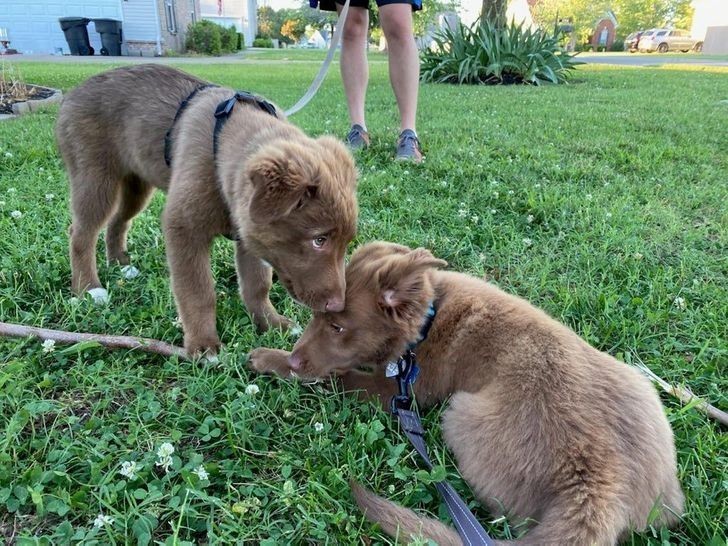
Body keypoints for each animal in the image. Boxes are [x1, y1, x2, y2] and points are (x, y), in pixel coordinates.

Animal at [55, 63, 356, 352]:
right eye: (319, 240)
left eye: (346, 242)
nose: (339, 306)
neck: (220, 147)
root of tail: (71, 95)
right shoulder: (184, 228)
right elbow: (198, 291)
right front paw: (203, 344)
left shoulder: (250, 232)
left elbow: (257, 284)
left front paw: (270, 323)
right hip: (95, 177)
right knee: (81, 233)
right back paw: (88, 289)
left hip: (137, 185)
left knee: (119, 220)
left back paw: (120, 263)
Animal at [249, 242, 684, 544]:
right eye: (317, 316)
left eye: (338, 327)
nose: (298, 359)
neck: (429, 316)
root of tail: (601, 489)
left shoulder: (398, 391)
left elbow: (339, 377)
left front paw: (271, 359)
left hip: (459, 413)